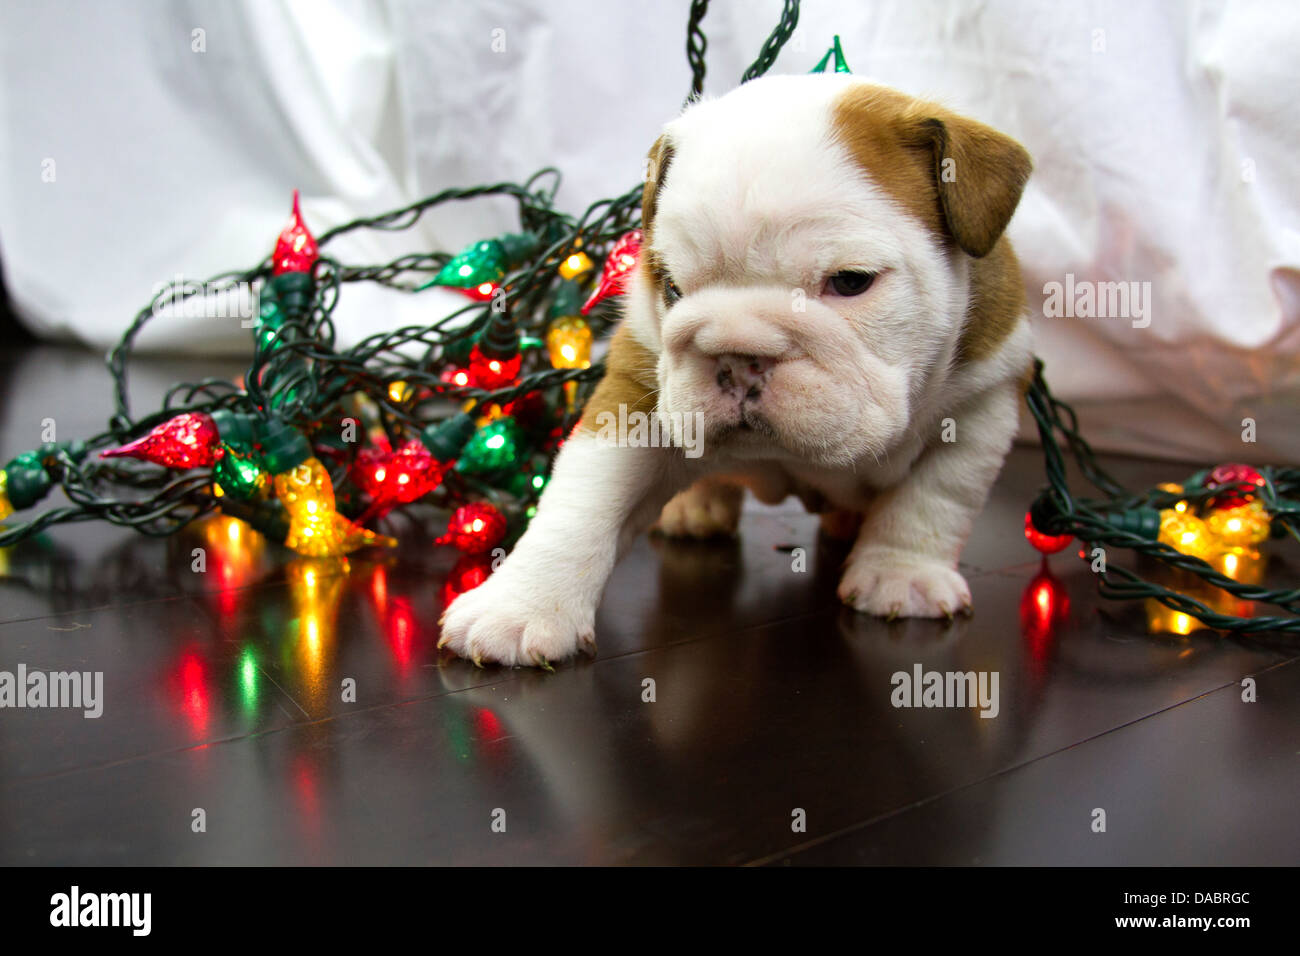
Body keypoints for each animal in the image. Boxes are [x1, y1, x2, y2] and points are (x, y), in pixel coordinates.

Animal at [441, 72, 1029, 665]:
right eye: (671, 287)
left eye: (851, 282)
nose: (737, 359)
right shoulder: (634, 391)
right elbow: (582, 499)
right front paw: (519, 606)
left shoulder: (982, 403)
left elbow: (933, 498)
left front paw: (902, 575)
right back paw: (696, 508)